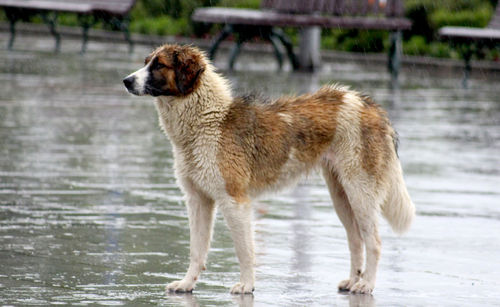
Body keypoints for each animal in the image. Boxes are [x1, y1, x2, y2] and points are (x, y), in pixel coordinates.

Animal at [122, 44, 414, 296]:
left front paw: (247, 285)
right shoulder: (198, 200)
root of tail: (368, 105)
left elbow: (244, 250)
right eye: (146, 62)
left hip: (360, 193)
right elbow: (197, 250)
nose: (126, 80)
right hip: (342, 196)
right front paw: (186, 284)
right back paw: (354, 280)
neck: (207, 120)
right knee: (356, 239)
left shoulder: (234, 201)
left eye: (159, 65)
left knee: (373, 242)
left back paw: (366, 285)